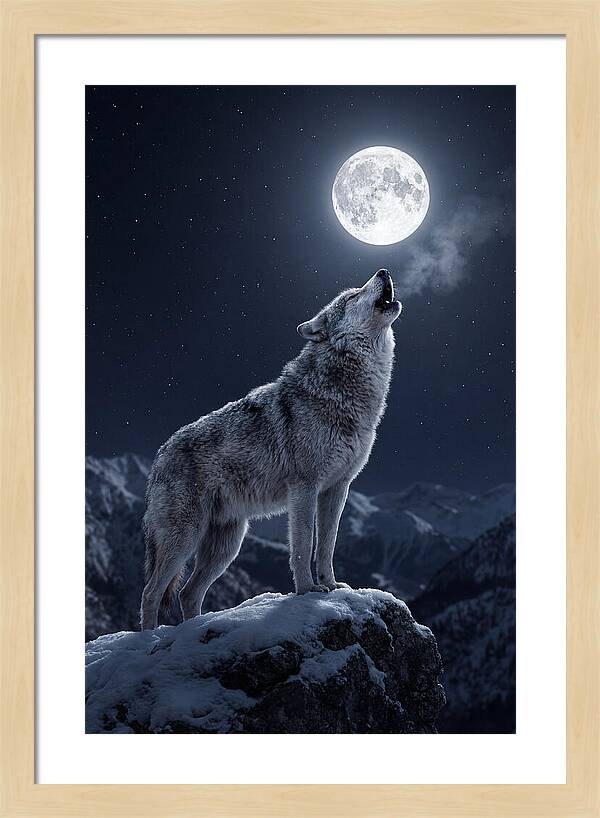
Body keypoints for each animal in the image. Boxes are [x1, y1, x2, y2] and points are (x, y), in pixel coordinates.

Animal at [140, 268, 401, 629]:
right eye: (351, 296)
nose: (383, 271)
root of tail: (158, 456)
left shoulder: (337, 488)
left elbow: (327, 544)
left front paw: (332, 585)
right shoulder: (304, 487)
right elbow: (304, 544)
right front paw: (307, 591)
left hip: (227, 545)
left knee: (187, 593)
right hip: (184, 539)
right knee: (151, 592)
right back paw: (148, 638)